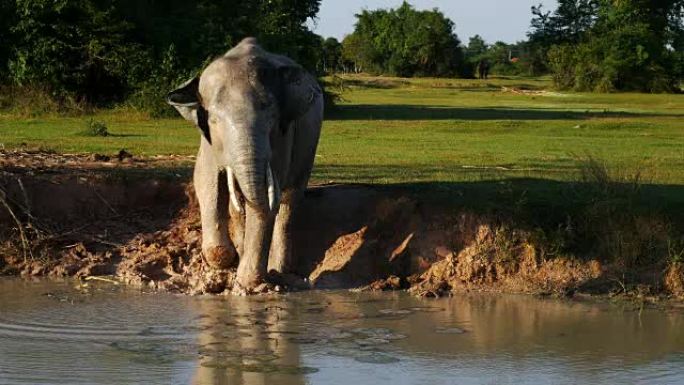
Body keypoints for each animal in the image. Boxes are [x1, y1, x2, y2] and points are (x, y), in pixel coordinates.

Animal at [167, 37, 324, 292]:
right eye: (214, 119)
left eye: (271, 115)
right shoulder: (207, 141)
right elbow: (205, 180)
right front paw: (228, 261)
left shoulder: (283, 135)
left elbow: (269, 198)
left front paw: (249, 284)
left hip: (310, 145)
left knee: (289, 202)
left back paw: (279, 271)